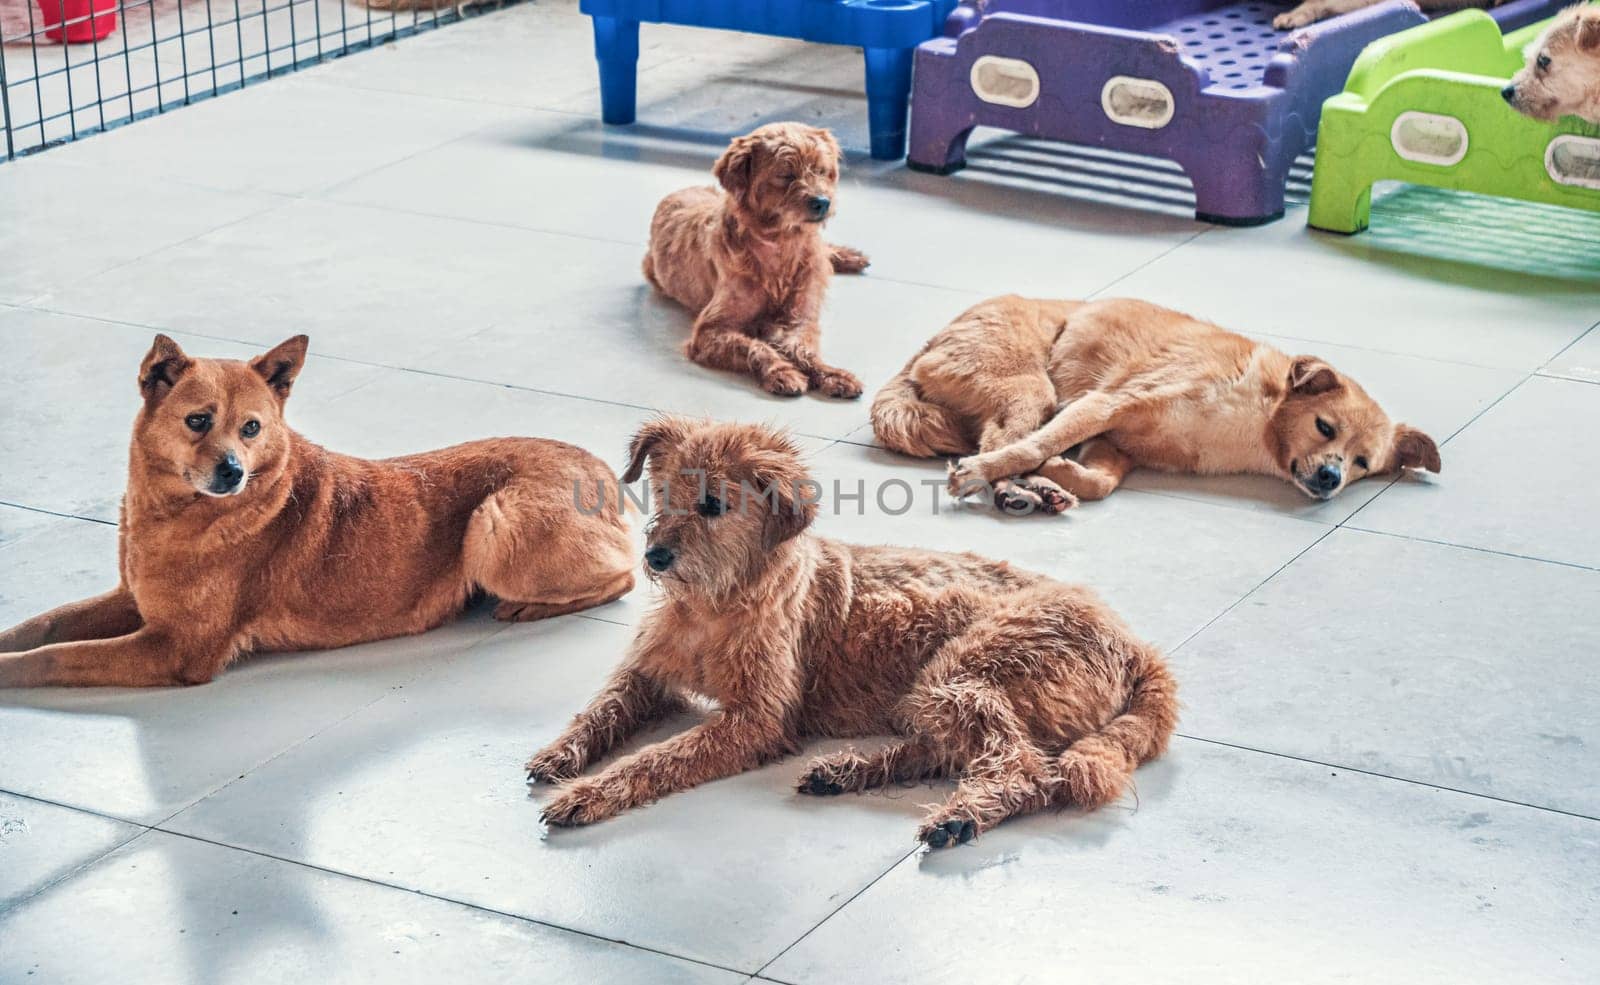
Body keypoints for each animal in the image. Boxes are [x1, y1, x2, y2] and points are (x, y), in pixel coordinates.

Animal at [0, 334, 636, 687]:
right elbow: (44, 626)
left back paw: (531, 606)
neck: (172, 517)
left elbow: (55, 657)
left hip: (492, 526)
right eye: (198, 420)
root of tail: (601, 469)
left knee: (626, 576)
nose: (231, 472)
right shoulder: (131, 599)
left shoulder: (177, 649)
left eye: (251, 427)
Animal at [528, 415, 1177, 844]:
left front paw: (587, 793)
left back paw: (958, 817)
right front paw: (560, 754)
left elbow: (656, 757)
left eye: (713, 505)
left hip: (963, 671)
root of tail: (1136, 647)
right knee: (952, 752)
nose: (656, 557)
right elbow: (600, 709)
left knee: (1023, 766)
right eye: (663, 493)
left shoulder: (755, 720)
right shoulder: (646, 673)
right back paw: (843, 773)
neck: (716, 604)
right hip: (937, 693)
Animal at [636, 123, 870, 399]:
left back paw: (850, 256)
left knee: (824, 252)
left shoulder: (799, 319)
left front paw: (831, 374)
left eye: (822, 171)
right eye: (786, 174)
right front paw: (781, 371)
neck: (780, 244)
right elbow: (755, 347)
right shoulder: (709, 331)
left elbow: (803, 349)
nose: (823, 202)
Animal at [870, 294, 1446, 514]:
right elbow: (1031, 447)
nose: (1330, 478)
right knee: (999, 439)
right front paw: (1000, 472)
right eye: (1325, 428)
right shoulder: (1103, 405)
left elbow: (1099, 482)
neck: (1255, 422)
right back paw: (1006, 484)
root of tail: (928, 343)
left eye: (1362, 463)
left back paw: (1034, 490)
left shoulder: (1116, 445)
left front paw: (1056, 474)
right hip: (1033, 390)